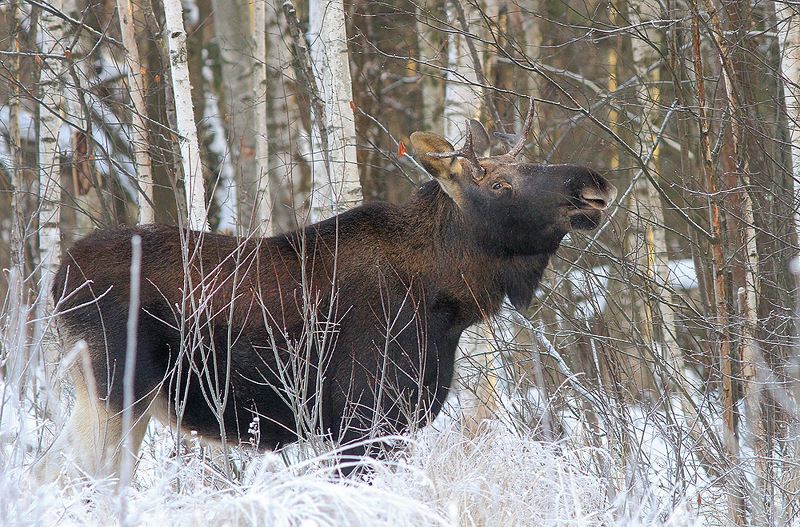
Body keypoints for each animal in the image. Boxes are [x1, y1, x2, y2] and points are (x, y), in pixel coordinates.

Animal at [47, 105, 616, 480]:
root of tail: (57, 280)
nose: (592, 183)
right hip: (114, 392)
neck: (447, 303)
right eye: (499, 185)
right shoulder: (361, 423)